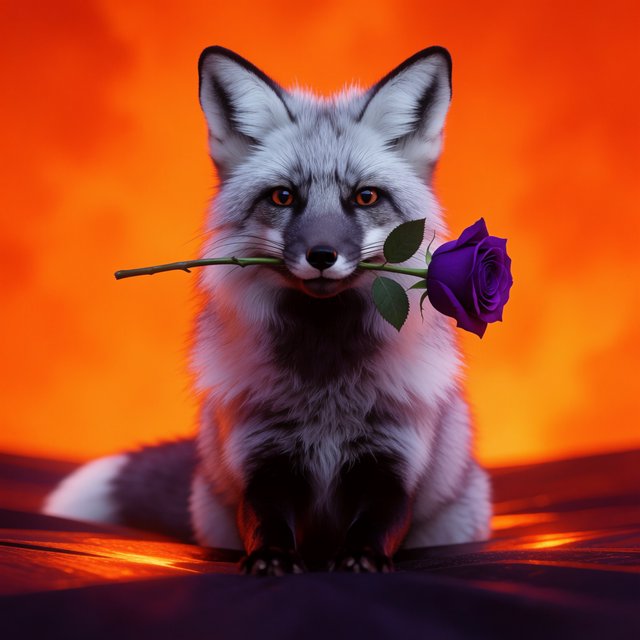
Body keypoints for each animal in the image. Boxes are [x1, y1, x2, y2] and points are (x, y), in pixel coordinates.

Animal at [44, 46, 491, 574]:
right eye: (283, 196)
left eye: (365, 197)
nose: (322, 255)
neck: (325, 388)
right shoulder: (261, 460)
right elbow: (264, 523)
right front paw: (271, 561)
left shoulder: (393, 461)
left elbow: (377, 525)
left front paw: (360, 558)